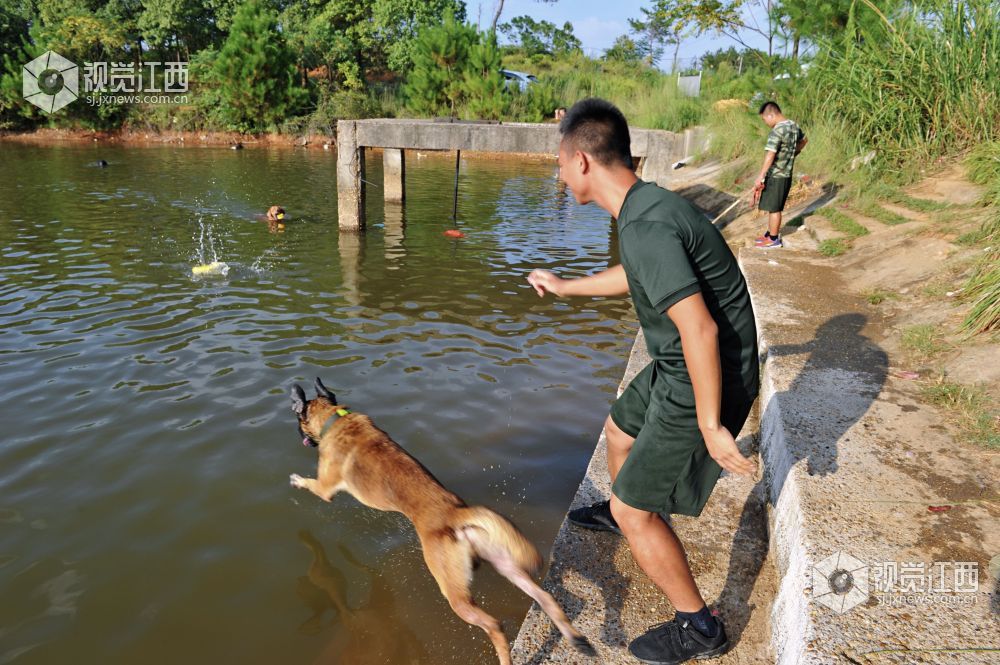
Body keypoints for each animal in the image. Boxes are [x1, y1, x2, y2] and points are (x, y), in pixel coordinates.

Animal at [290, 376, 592, 660]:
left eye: (297, 421)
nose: (299, 436)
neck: (335, 419)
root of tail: (457, 513)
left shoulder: (325, 489)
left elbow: (313, 492)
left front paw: (296, 481)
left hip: (454, 591)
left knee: (494, 624)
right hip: (506, 564)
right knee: (546, 597)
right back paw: (577, 639)